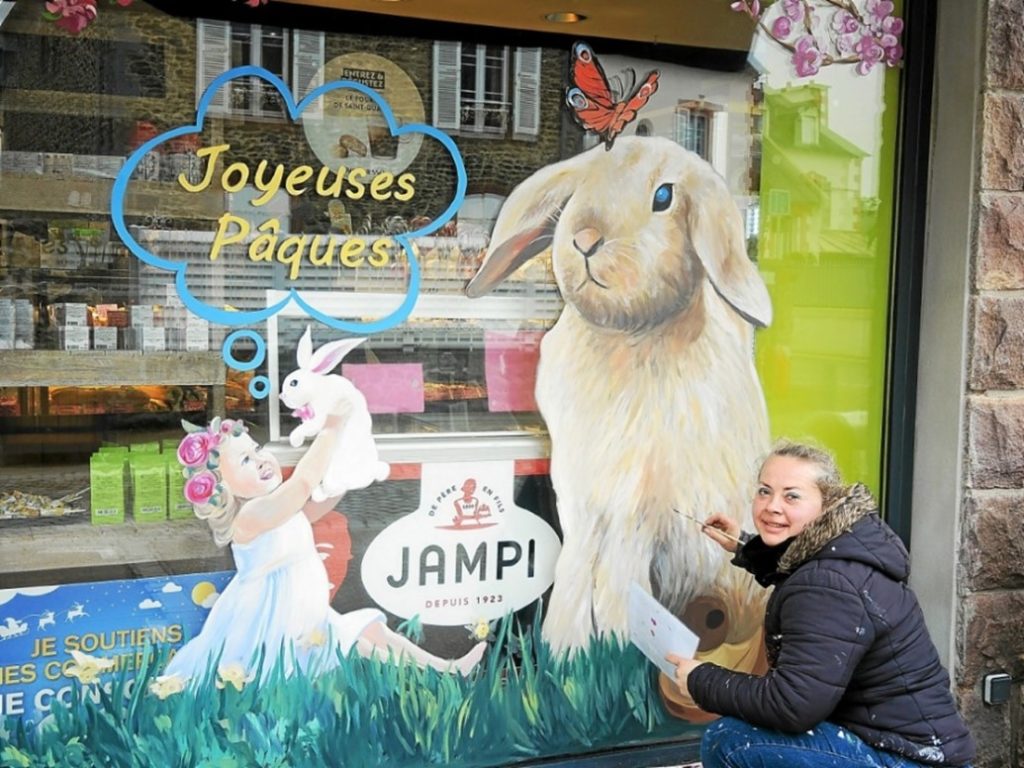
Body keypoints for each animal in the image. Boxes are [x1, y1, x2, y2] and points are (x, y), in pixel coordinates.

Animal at [278, 325, 389, 501]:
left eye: (293, 383)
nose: (281, 396)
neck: (316, 388)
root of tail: (373, 472)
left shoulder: (320, 413)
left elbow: (309, 428)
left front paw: (295, 440)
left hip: (334, 472)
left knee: (335, 488)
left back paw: (318, 494)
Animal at [468, 135, 770, 700]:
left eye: (664, 195)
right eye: (580, 189)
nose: (585, 239)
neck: (629, 335)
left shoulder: (638, 506)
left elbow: (615, 578)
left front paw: (606, 650)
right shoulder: (582, 500)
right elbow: (574, 573)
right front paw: (567, 656)